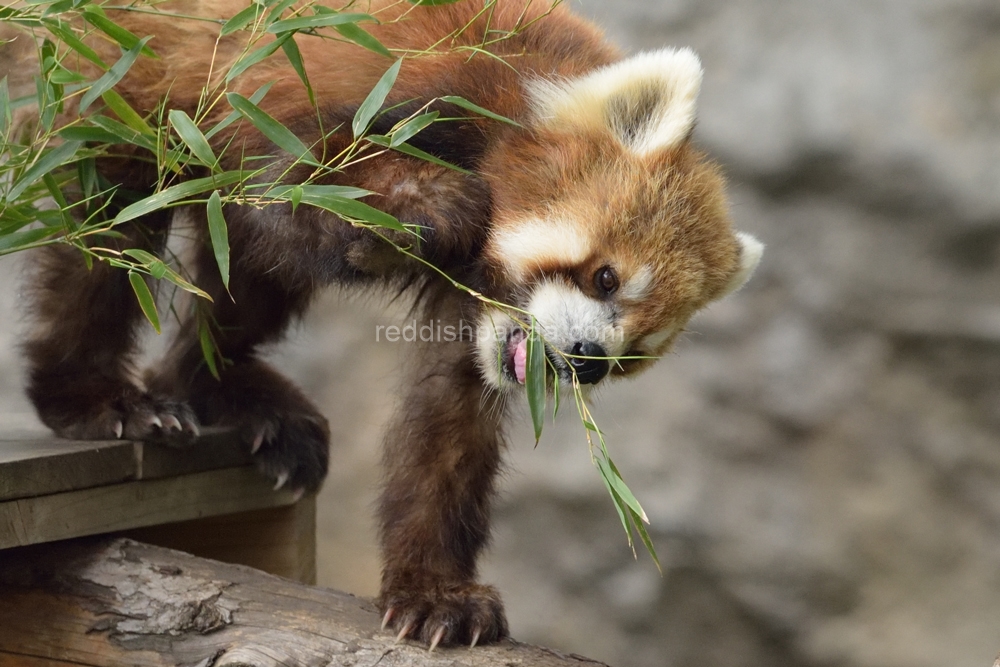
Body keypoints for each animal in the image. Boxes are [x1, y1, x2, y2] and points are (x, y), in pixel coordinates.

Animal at [13, 0, 756, 648]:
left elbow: (446, 419)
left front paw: (436, 595)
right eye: (605, 277)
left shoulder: (479, 321)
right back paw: (95, 397)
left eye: (635, 350)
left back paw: (221, 388)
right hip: (120, 73)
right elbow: (295, 177)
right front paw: (436, 206)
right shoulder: (362, 87)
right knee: (110, 222)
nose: (587, 358)